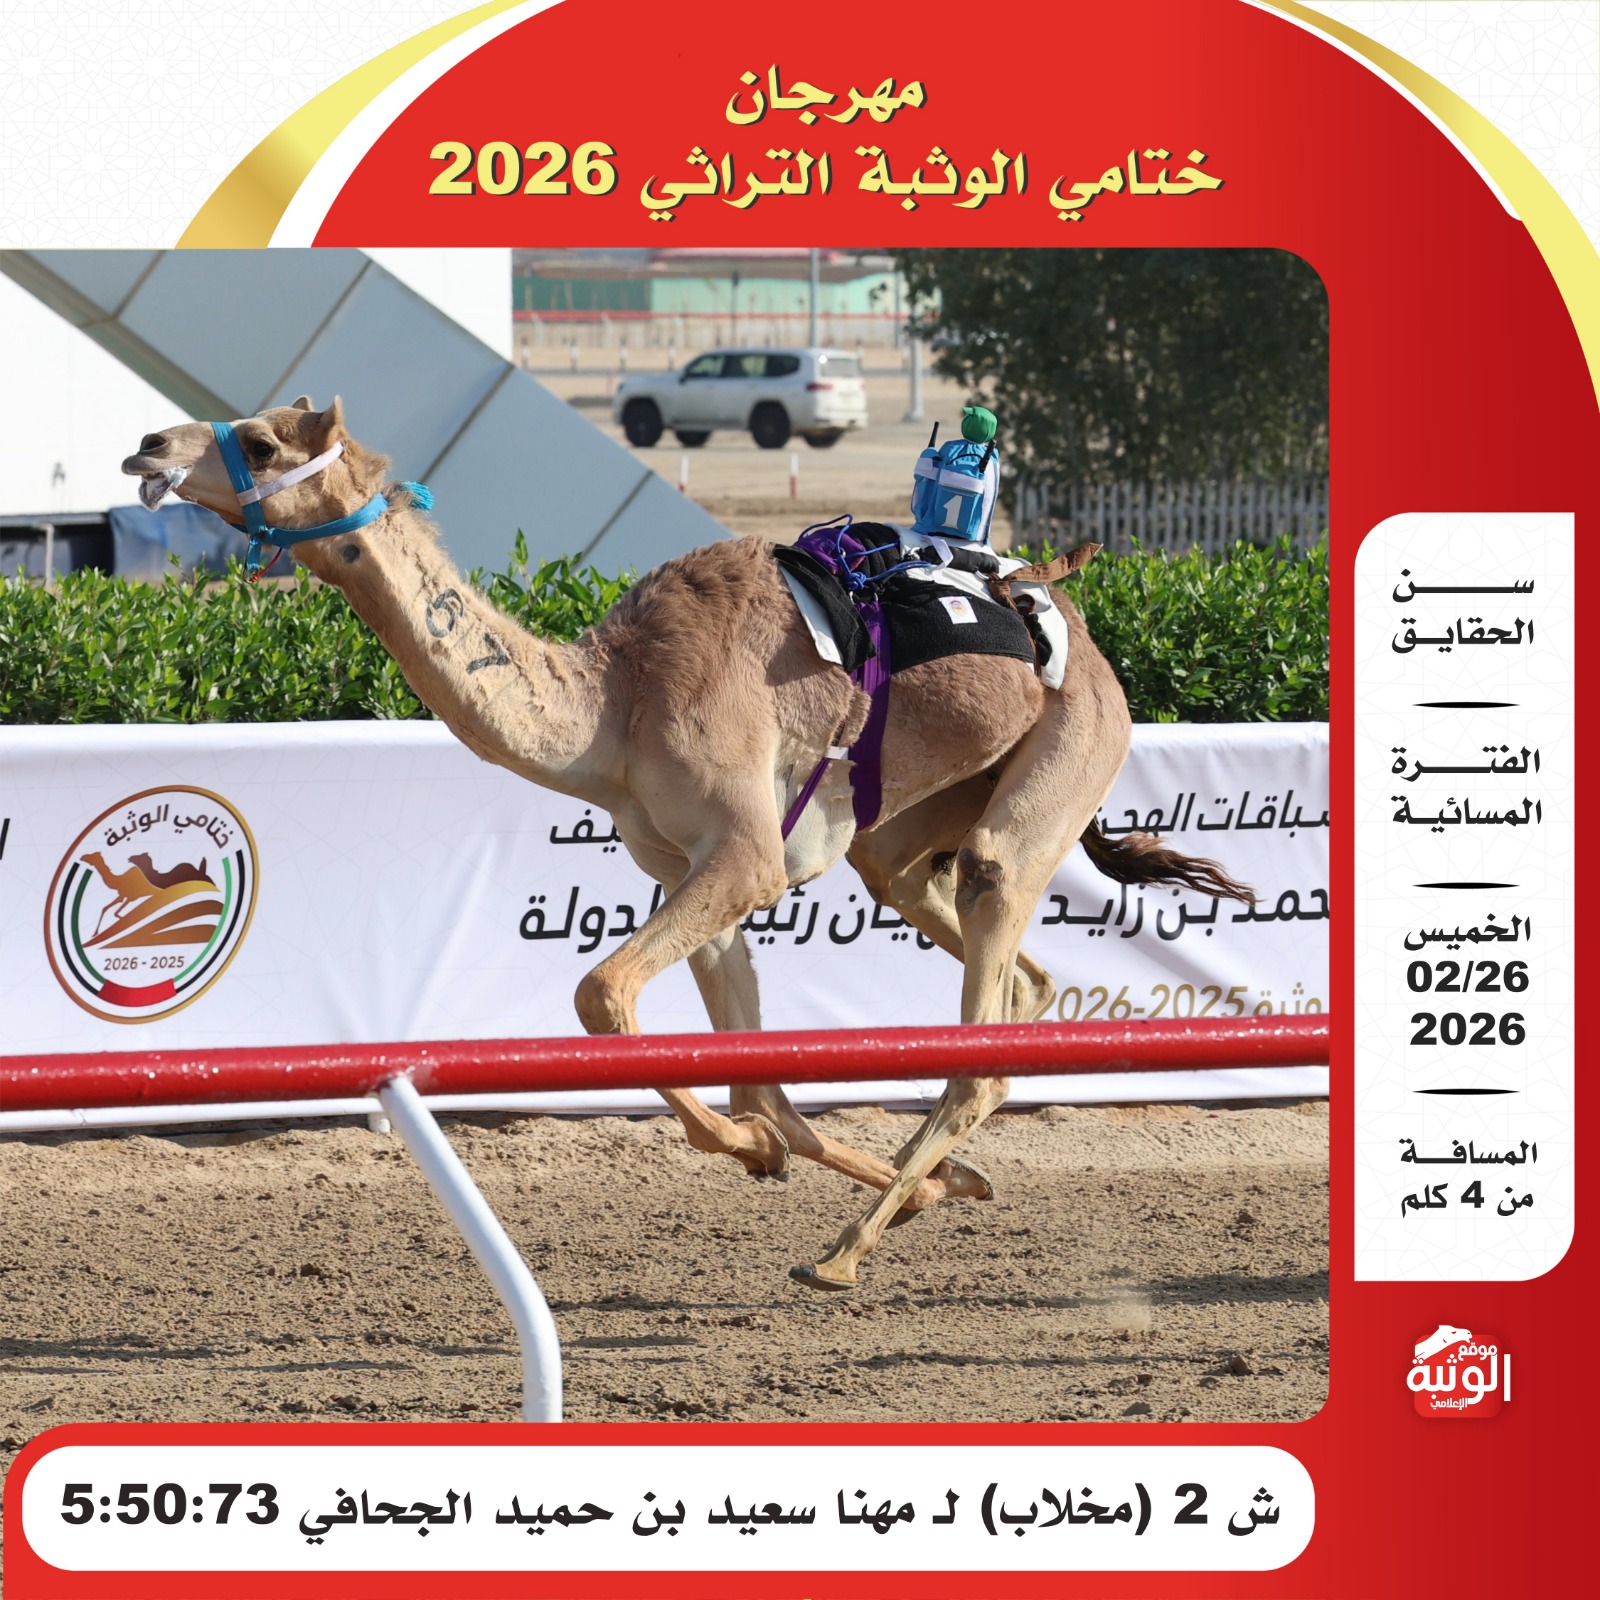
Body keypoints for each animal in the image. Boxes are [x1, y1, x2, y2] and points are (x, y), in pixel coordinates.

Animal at [122, 397, 1252, 1290]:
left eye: (260, 441)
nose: (146, 444)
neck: (615, 706)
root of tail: (1078, 631)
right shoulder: (691, 868)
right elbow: (752, 1075)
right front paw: (829, 1161)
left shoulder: (744, 856)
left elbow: (600, 995)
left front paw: (772, 1157)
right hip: (905, 833)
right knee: (1009, 965)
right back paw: (932, 1175)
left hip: (1070, 756)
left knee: (990, 942)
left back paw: (844, 1252)